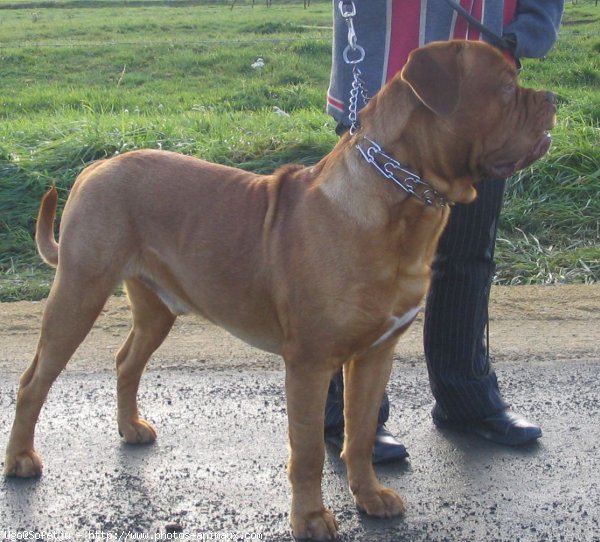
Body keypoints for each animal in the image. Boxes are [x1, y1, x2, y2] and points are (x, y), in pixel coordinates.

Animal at [5, 41, 556, 540]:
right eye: (505, 87)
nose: (552, 96)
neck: (403, 199)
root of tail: (95, 167)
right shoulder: (310, 362)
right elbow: (309, 449)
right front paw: (311, 520)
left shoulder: (376, 354)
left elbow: (359, 434)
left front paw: (370, 497)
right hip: (78, 293)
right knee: (34, 381)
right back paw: (21, 460)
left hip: (156, 308)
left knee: (126, 362)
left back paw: (130, 429)